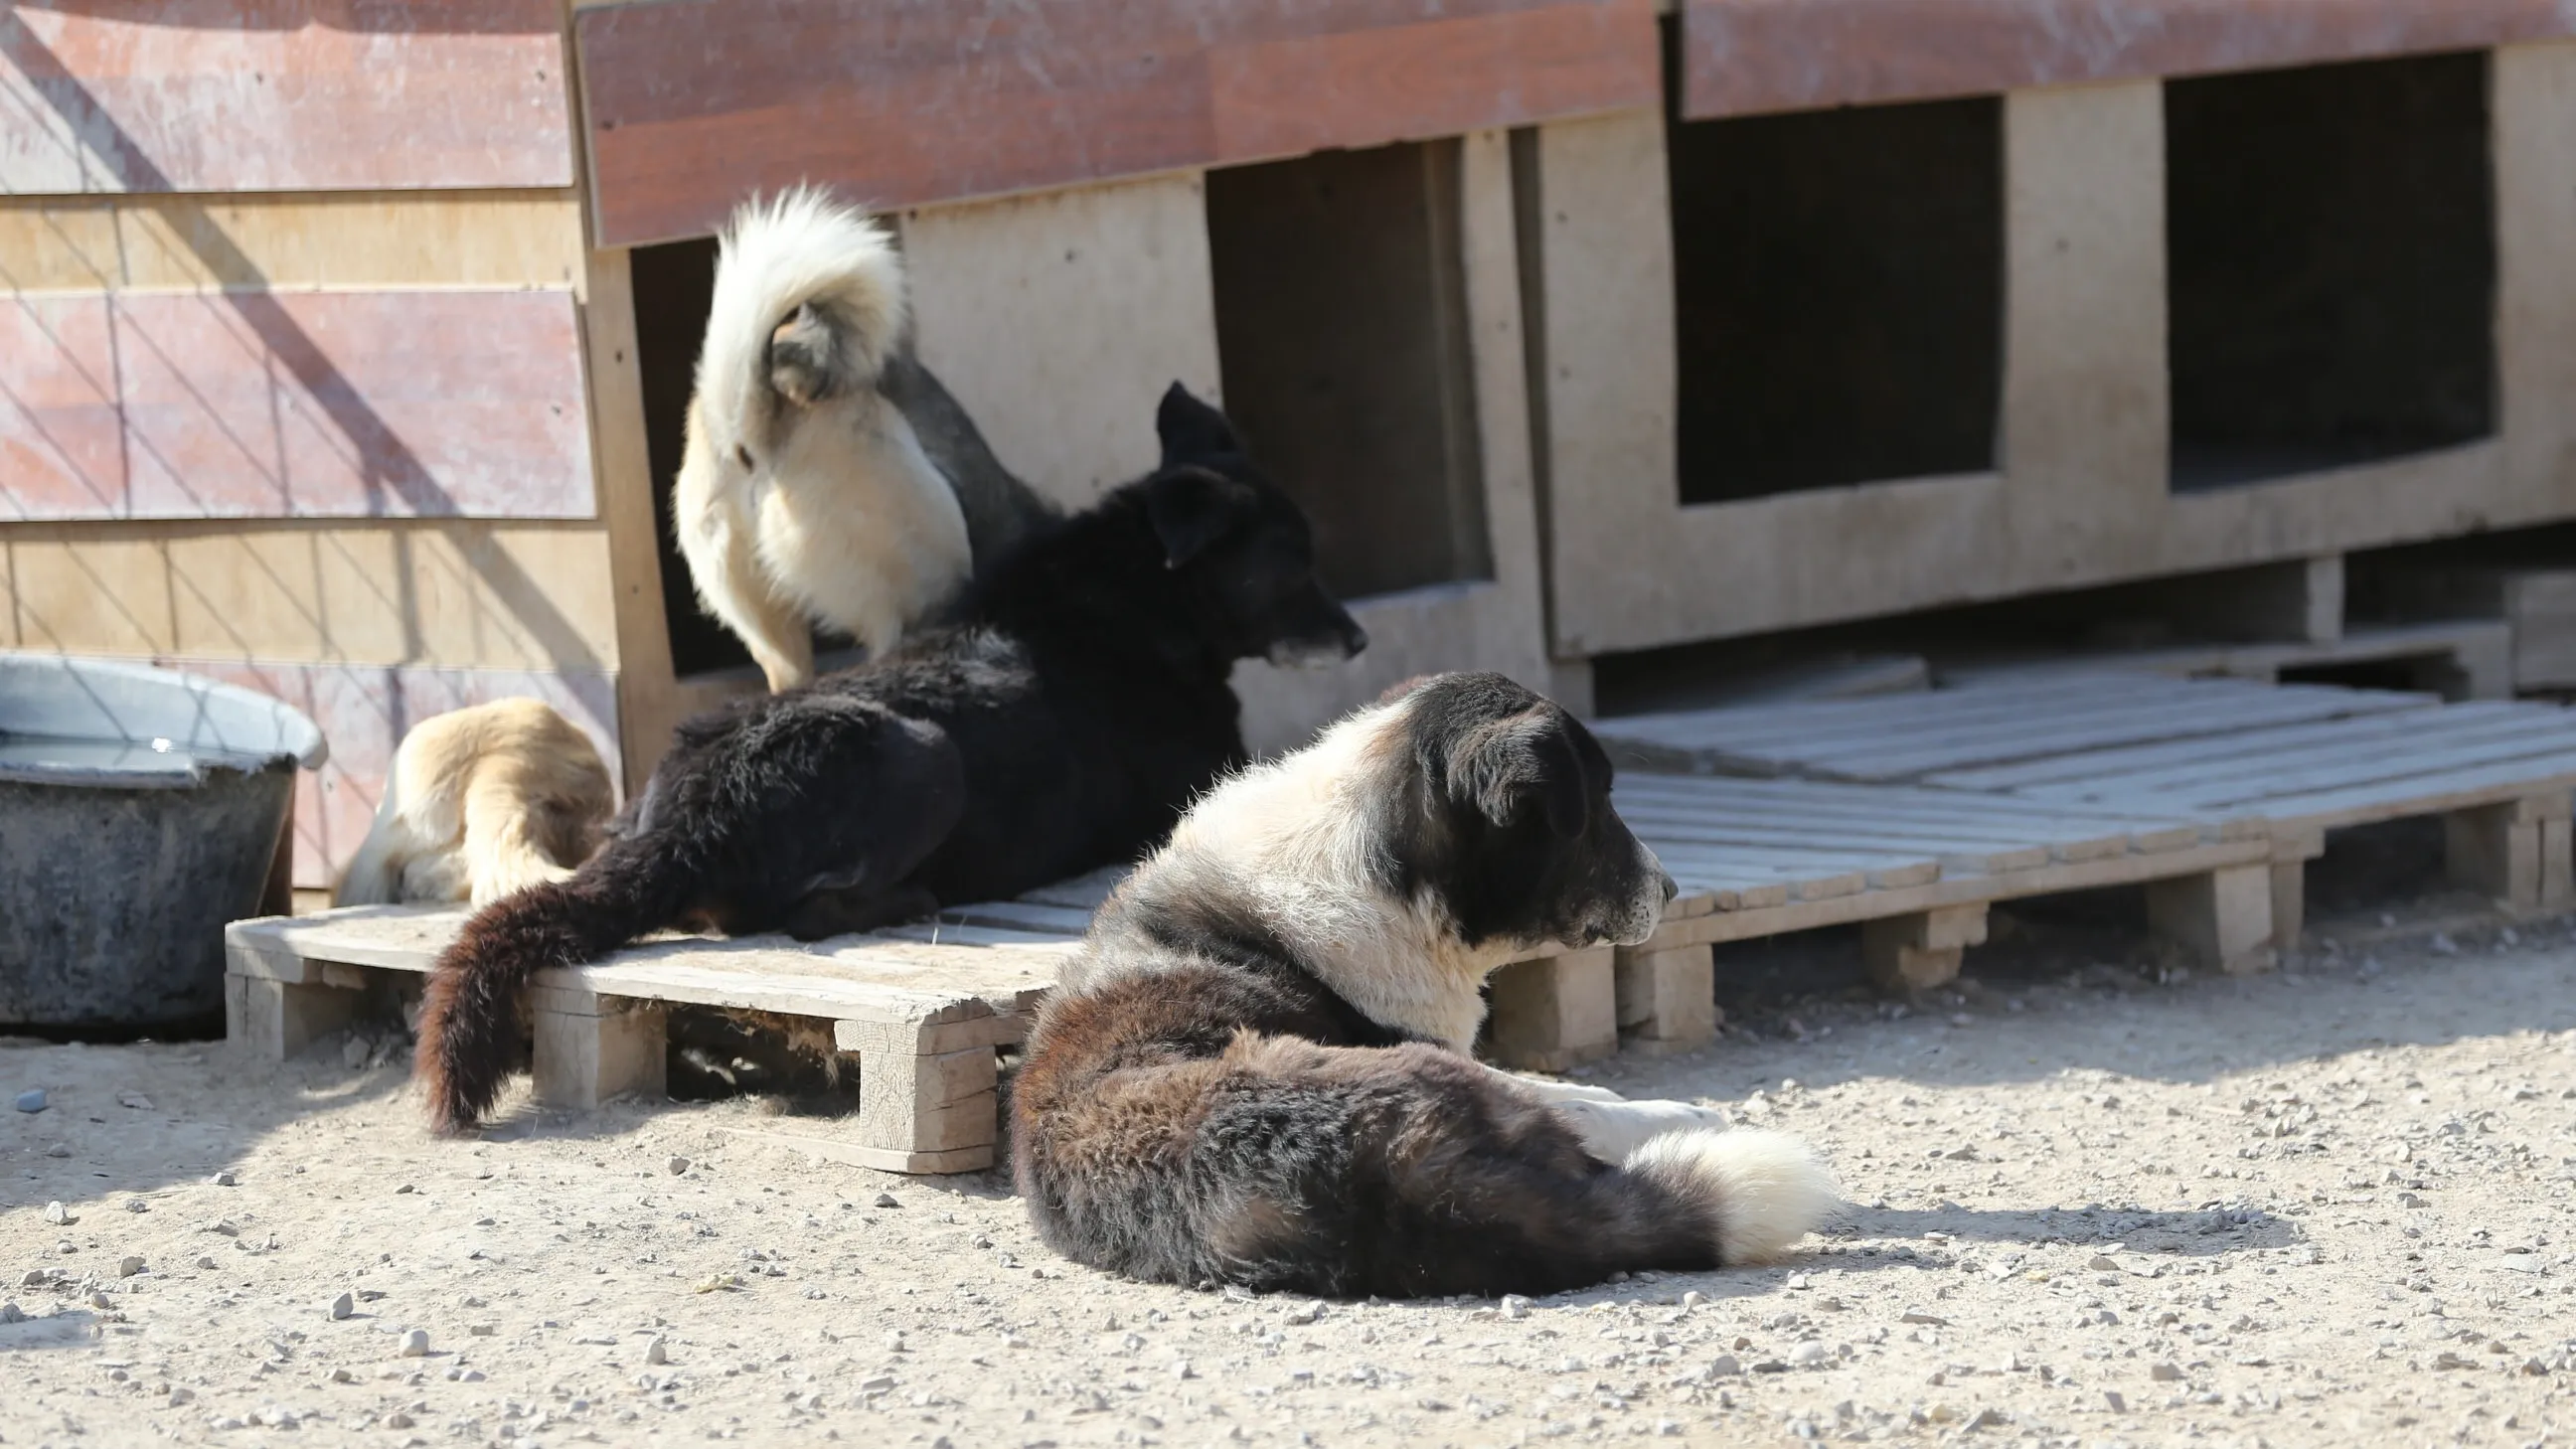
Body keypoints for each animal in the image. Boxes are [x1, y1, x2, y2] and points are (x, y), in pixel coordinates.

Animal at [415, 384, 1368, 1133]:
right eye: (1293, 564)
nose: (1358, 639)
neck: (1142, 600)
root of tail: (685, 819)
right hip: (926, 755)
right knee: (802, 914)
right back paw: (915, 895)